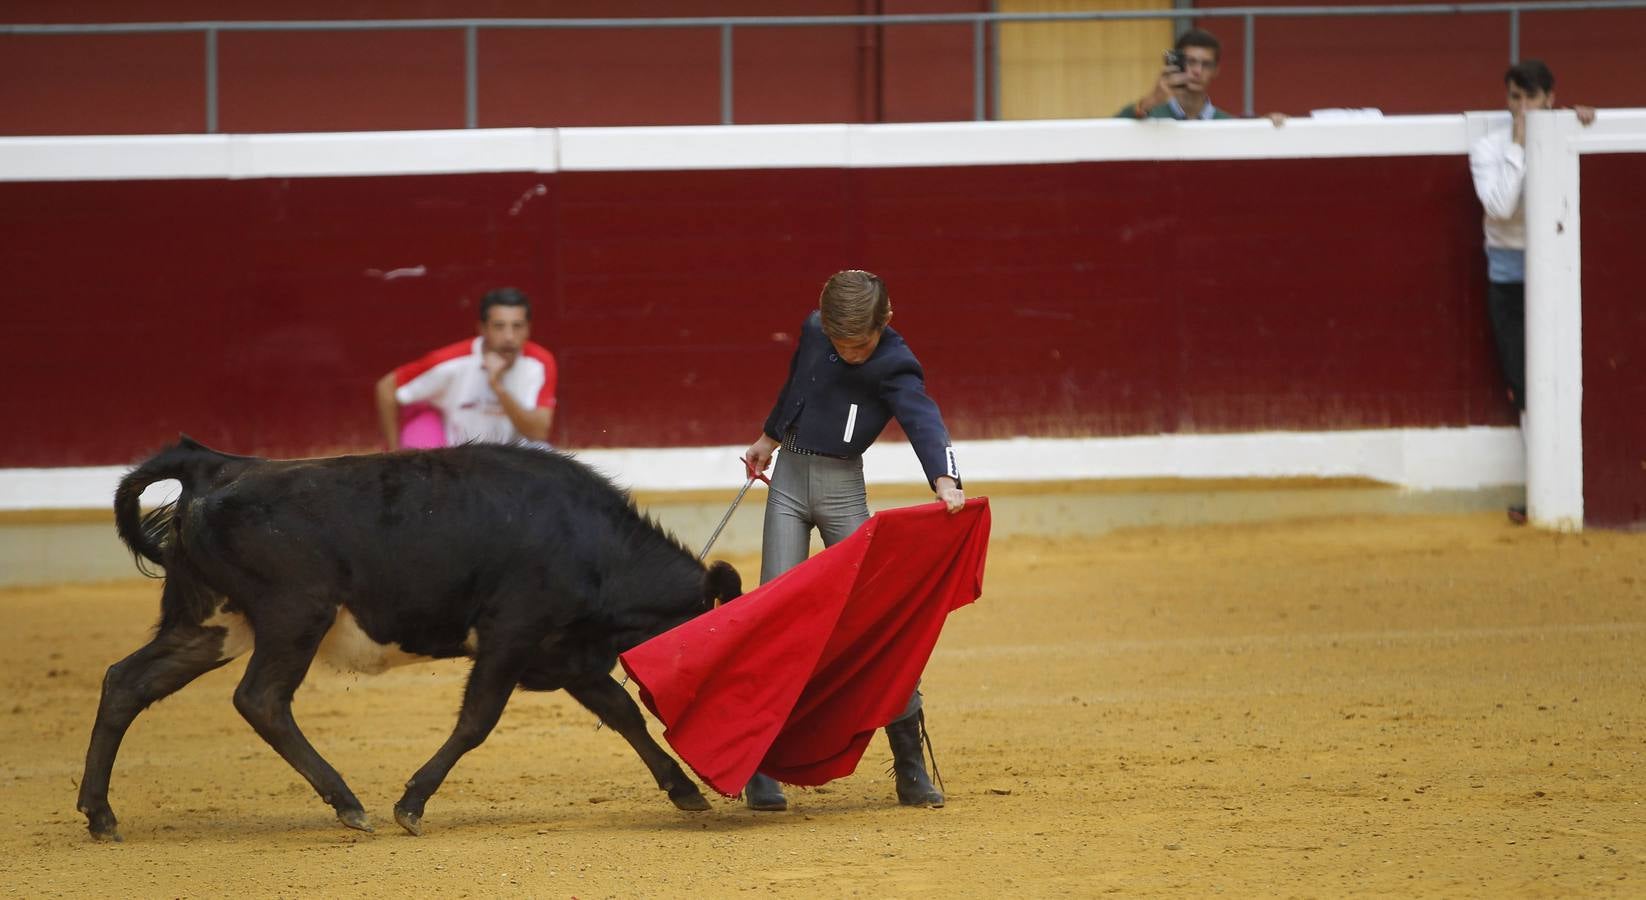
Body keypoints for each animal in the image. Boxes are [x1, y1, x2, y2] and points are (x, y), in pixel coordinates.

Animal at [80, 440, 743, 842]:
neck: (590, 544)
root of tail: (216, 467)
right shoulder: (512, 635)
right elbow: (477, 721)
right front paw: (412, 805)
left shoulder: (565, 655)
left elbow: (623, 713)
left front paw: (685, 790)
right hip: (295, 615)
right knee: (262, 700)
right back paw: (349, 803)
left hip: (213, 622)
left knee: (127, 682)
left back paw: (100, 814)